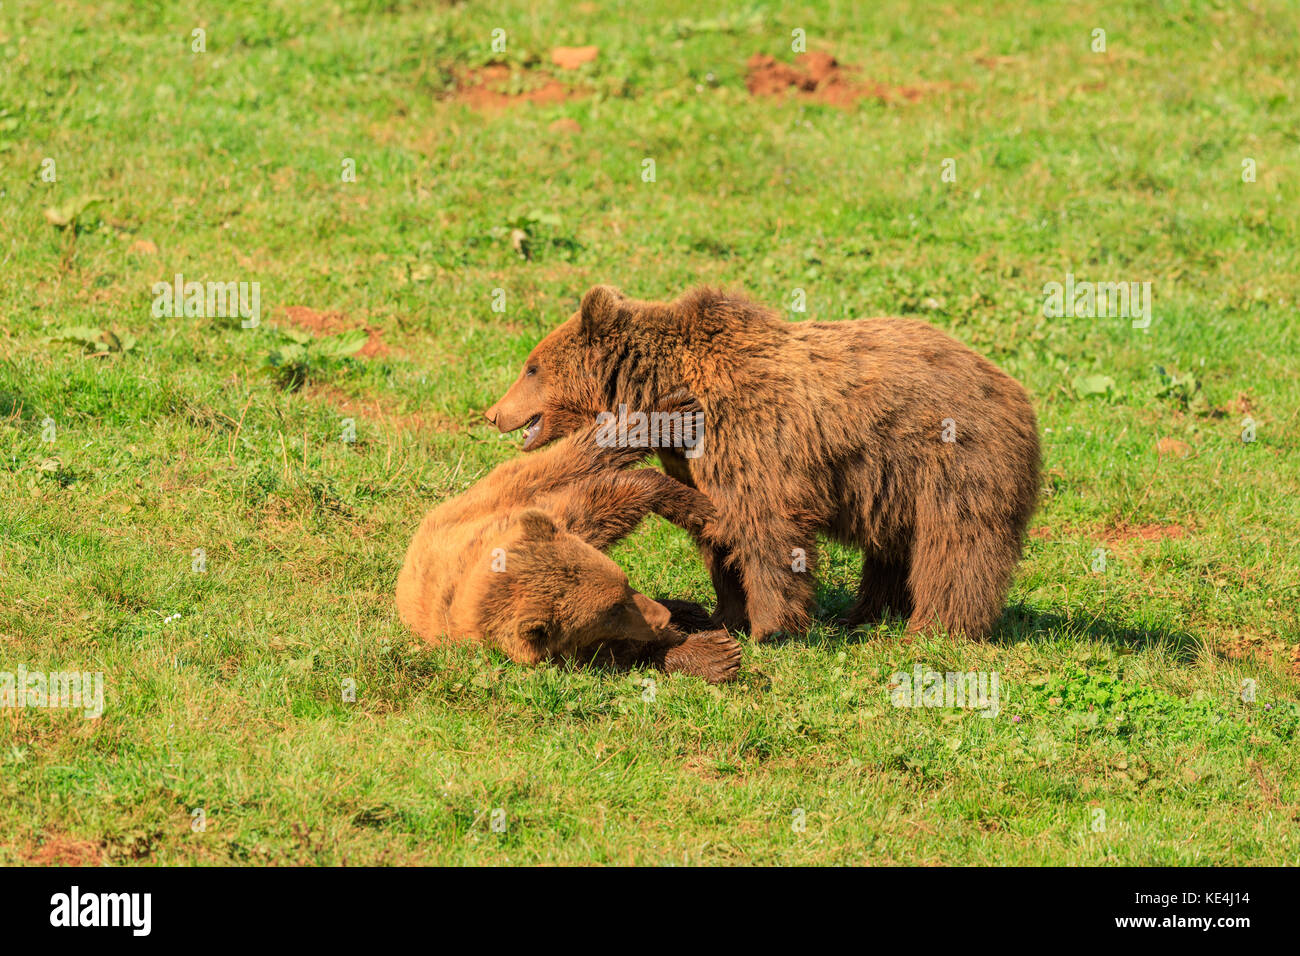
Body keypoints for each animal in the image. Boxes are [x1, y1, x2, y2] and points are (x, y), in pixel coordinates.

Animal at [395, 416, 743, 686]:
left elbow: (605, 503)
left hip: (509, 491)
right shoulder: (567, 649)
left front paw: (696, 507)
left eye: (625, 581)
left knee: (581, 457)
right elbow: (629, 652)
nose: (661, 617)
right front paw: (718, 654)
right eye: (611, 610)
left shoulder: (556, 527)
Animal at [483, 283, 1040, 642]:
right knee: (893, 547)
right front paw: (726, 613)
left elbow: (765, 528)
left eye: (531, 367)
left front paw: (770, 629)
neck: (670, 391)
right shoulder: (694, 460)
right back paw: (866, 613)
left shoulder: (748, 438)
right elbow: (718, 531)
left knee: (957, 545)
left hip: (953, 460)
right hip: (894, 483)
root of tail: (1016, 390)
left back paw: (936, 629)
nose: (493, 413)